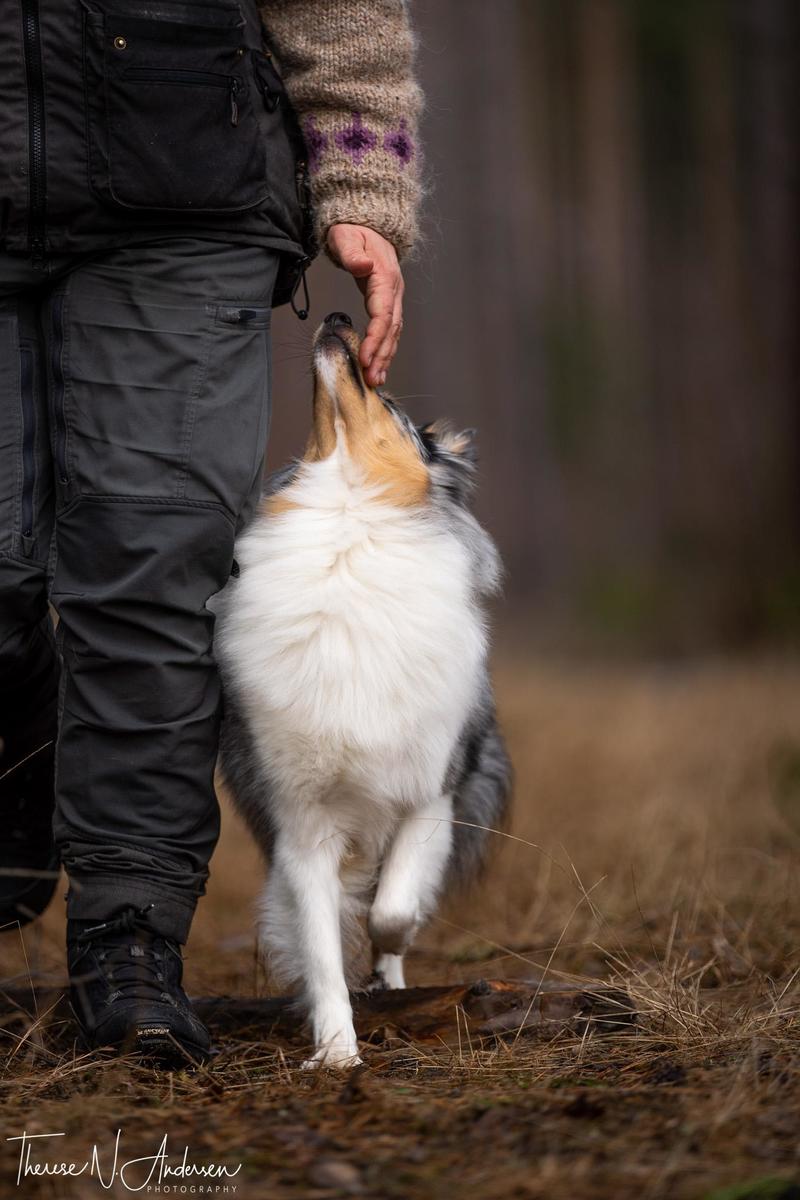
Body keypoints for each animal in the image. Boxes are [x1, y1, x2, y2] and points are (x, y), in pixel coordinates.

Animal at [214, 312, 513, 1070]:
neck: (349, 519)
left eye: (391, 401)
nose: (340, 316)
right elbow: (321, 946)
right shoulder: (301, 823)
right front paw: (337, 1052)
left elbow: (393, 910)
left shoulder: (430, 792)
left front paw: (385, 961)